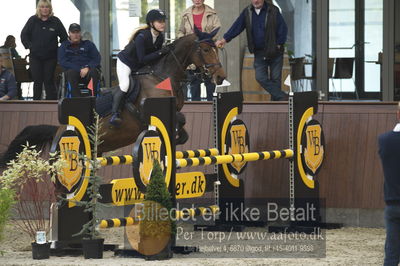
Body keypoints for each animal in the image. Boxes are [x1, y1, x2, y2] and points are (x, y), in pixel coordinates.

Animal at [0, 28, 225, 166]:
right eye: (206, 49)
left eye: (216, 48)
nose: (221, 77)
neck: (163, 75)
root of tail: (58, 130)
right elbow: (179, 120)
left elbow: (182, 125)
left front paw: (176, 139)